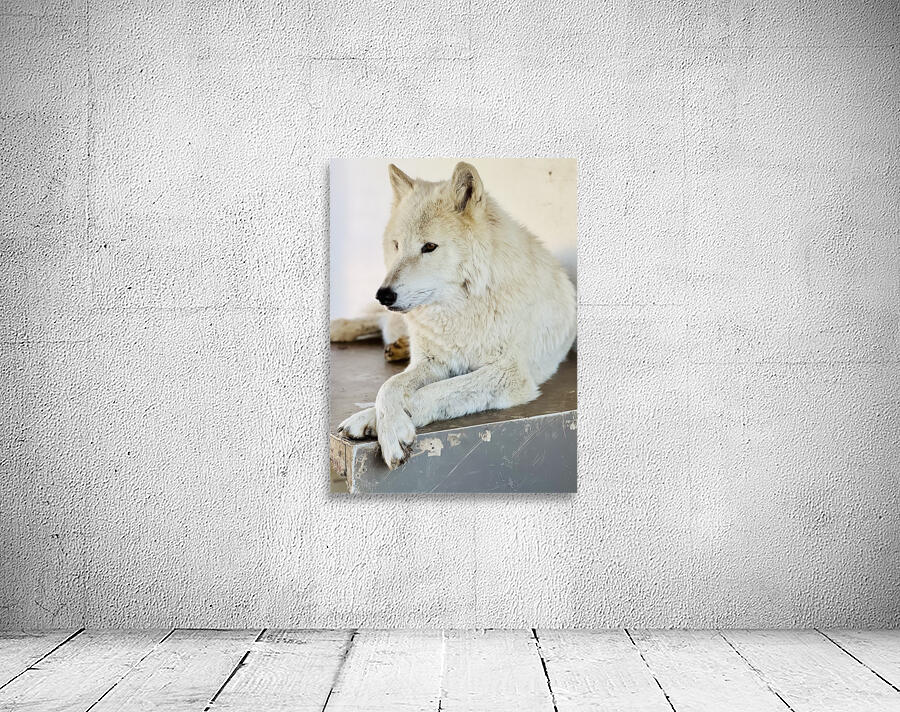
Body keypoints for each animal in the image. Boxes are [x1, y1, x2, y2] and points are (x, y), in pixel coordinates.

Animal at [330, 162, 576, 470]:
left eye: (429, 247)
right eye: (397, 245)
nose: (383, 294)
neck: (460, 312)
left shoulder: (508, 374)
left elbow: (429, 392)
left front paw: (383, 424)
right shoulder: (433, 362)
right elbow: (388, 387)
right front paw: (381, 419)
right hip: (399, 321)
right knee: (379, 321)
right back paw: (342, 329)